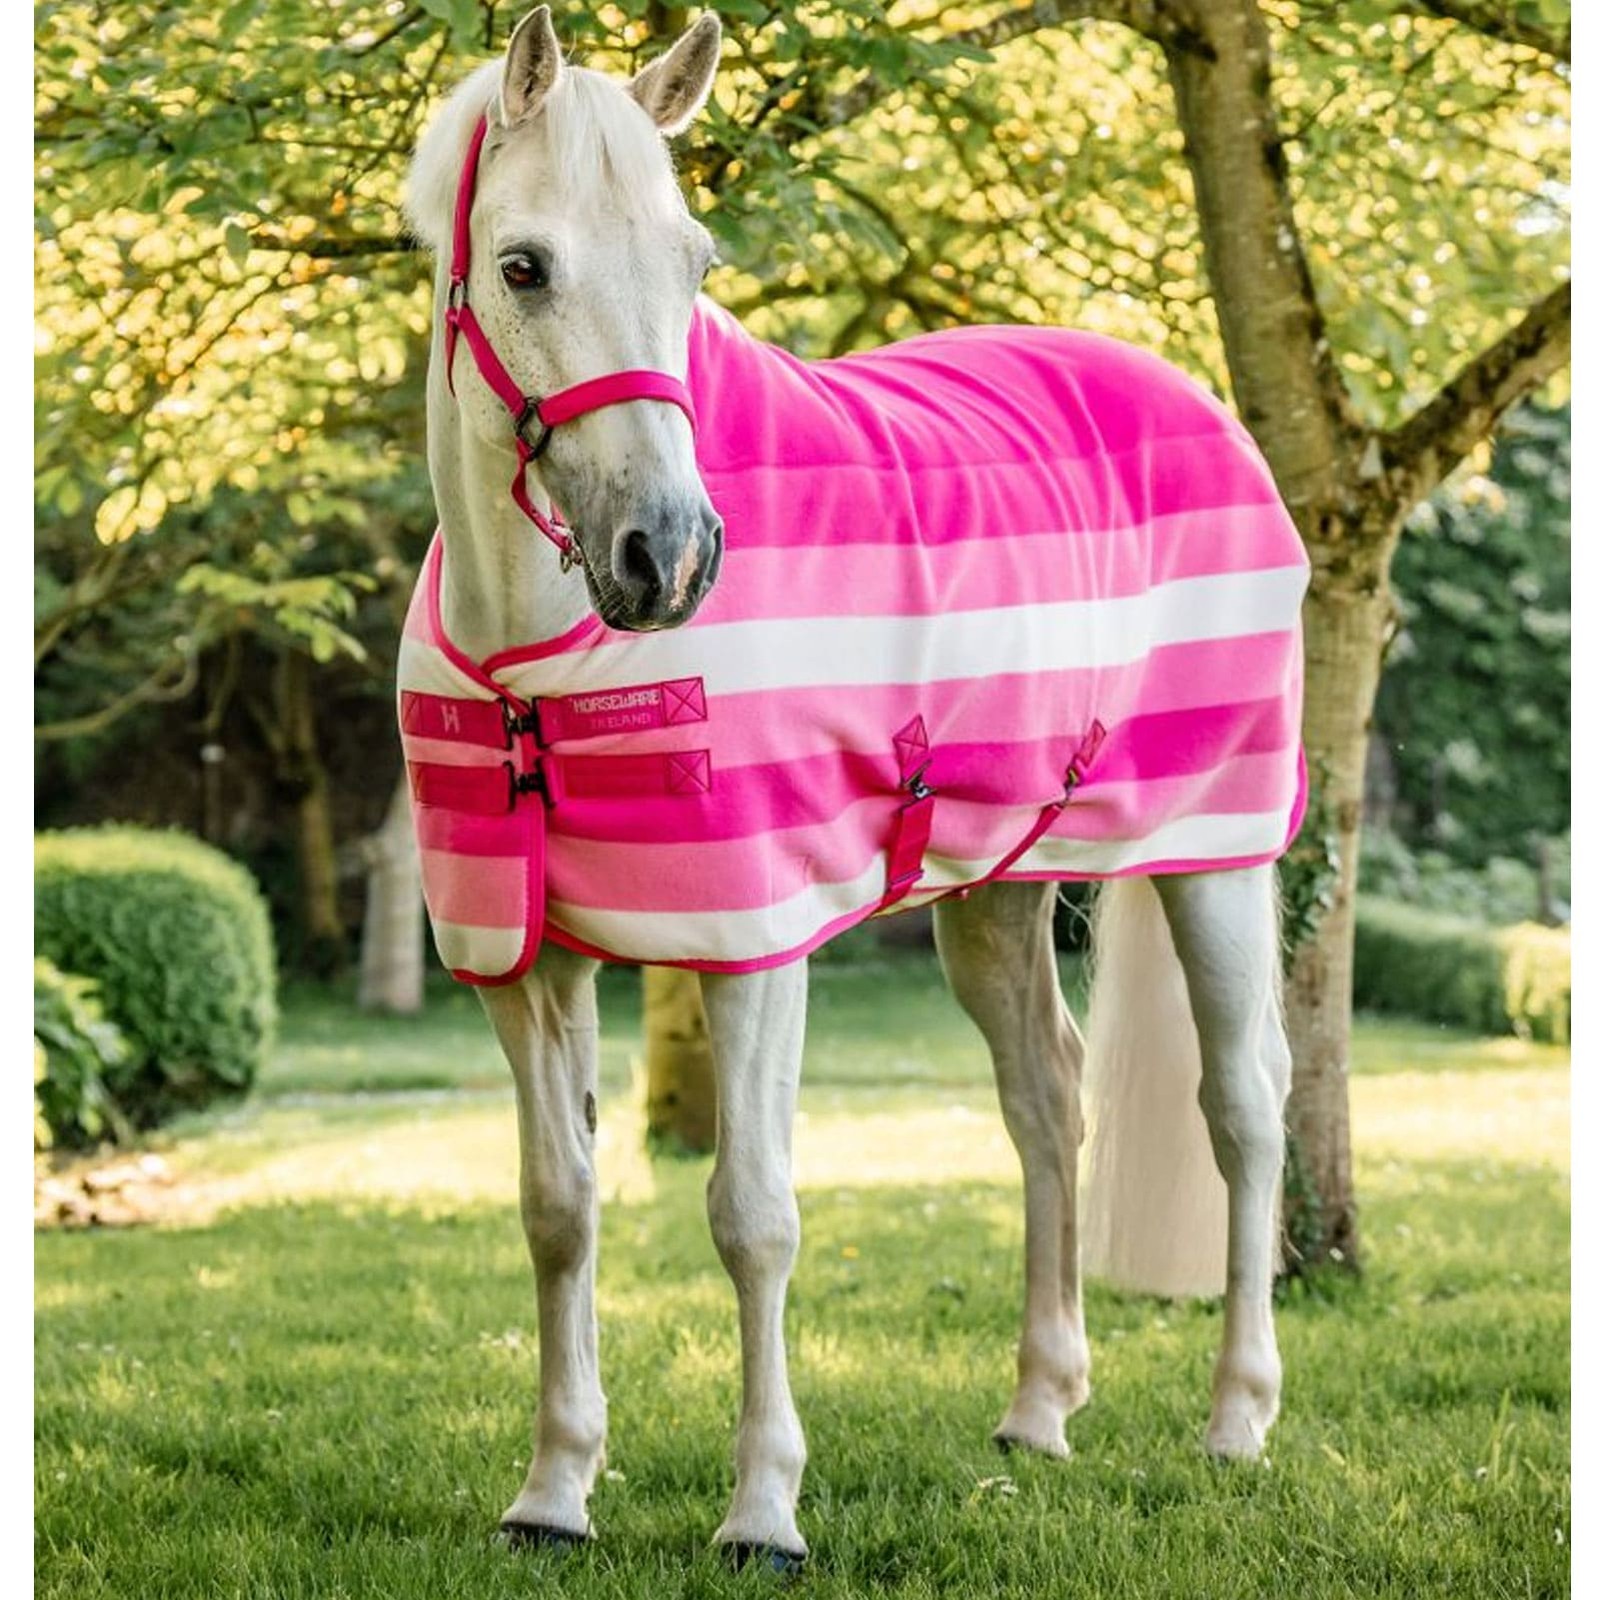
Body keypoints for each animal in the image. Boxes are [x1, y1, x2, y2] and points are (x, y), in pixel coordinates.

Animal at [400, 7, 1305, 1566]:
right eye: (522, 266)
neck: (539, 659)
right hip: (996, 891)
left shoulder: (753, 941)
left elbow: (752, 1214)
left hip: (1219, 857)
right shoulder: (524, 961)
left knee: (1245, 1104)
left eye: (696, 262)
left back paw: (1237, 1417)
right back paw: (1038, 1410)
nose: (670, 556)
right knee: (1046, 1100)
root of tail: (1193, 396)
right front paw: (554, 1491)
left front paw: (763, 1509)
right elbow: (557, 1209)